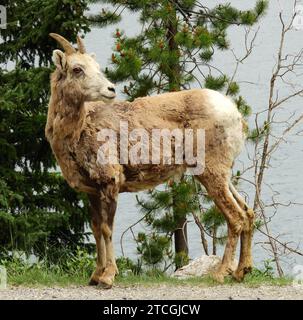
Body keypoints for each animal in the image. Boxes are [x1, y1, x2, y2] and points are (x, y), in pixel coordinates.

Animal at [45, 33, 254, 288]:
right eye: (77, 69)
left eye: (96, 67)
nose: (110, 89)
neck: (77, 132)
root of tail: (237, 116)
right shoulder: (92, 190)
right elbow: (95, 229)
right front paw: (94, 276)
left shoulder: (110, 181)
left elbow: (107, 229)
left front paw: (108, 277)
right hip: (224, 173)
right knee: (248, 212)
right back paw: (241, 271)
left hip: (211, 172)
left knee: (236, 217)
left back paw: (220, 274)